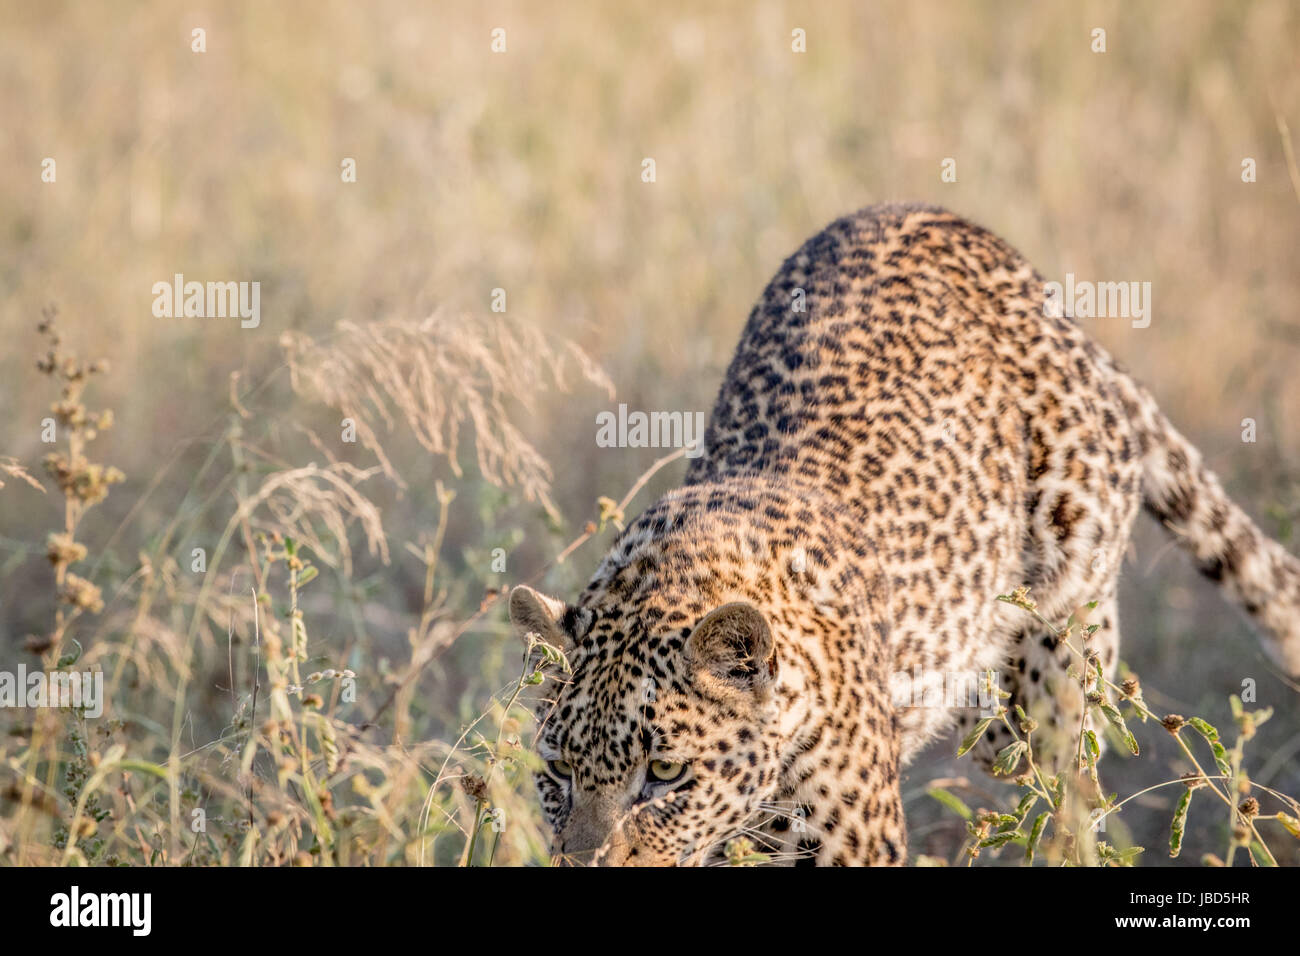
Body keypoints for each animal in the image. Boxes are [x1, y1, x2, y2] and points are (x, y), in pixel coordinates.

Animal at [509, 201, 1300, 866]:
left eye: (666, 774)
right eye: (558, 771)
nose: (584, 866)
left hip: (1056, 667)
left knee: (1072, 797)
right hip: (990, 713)